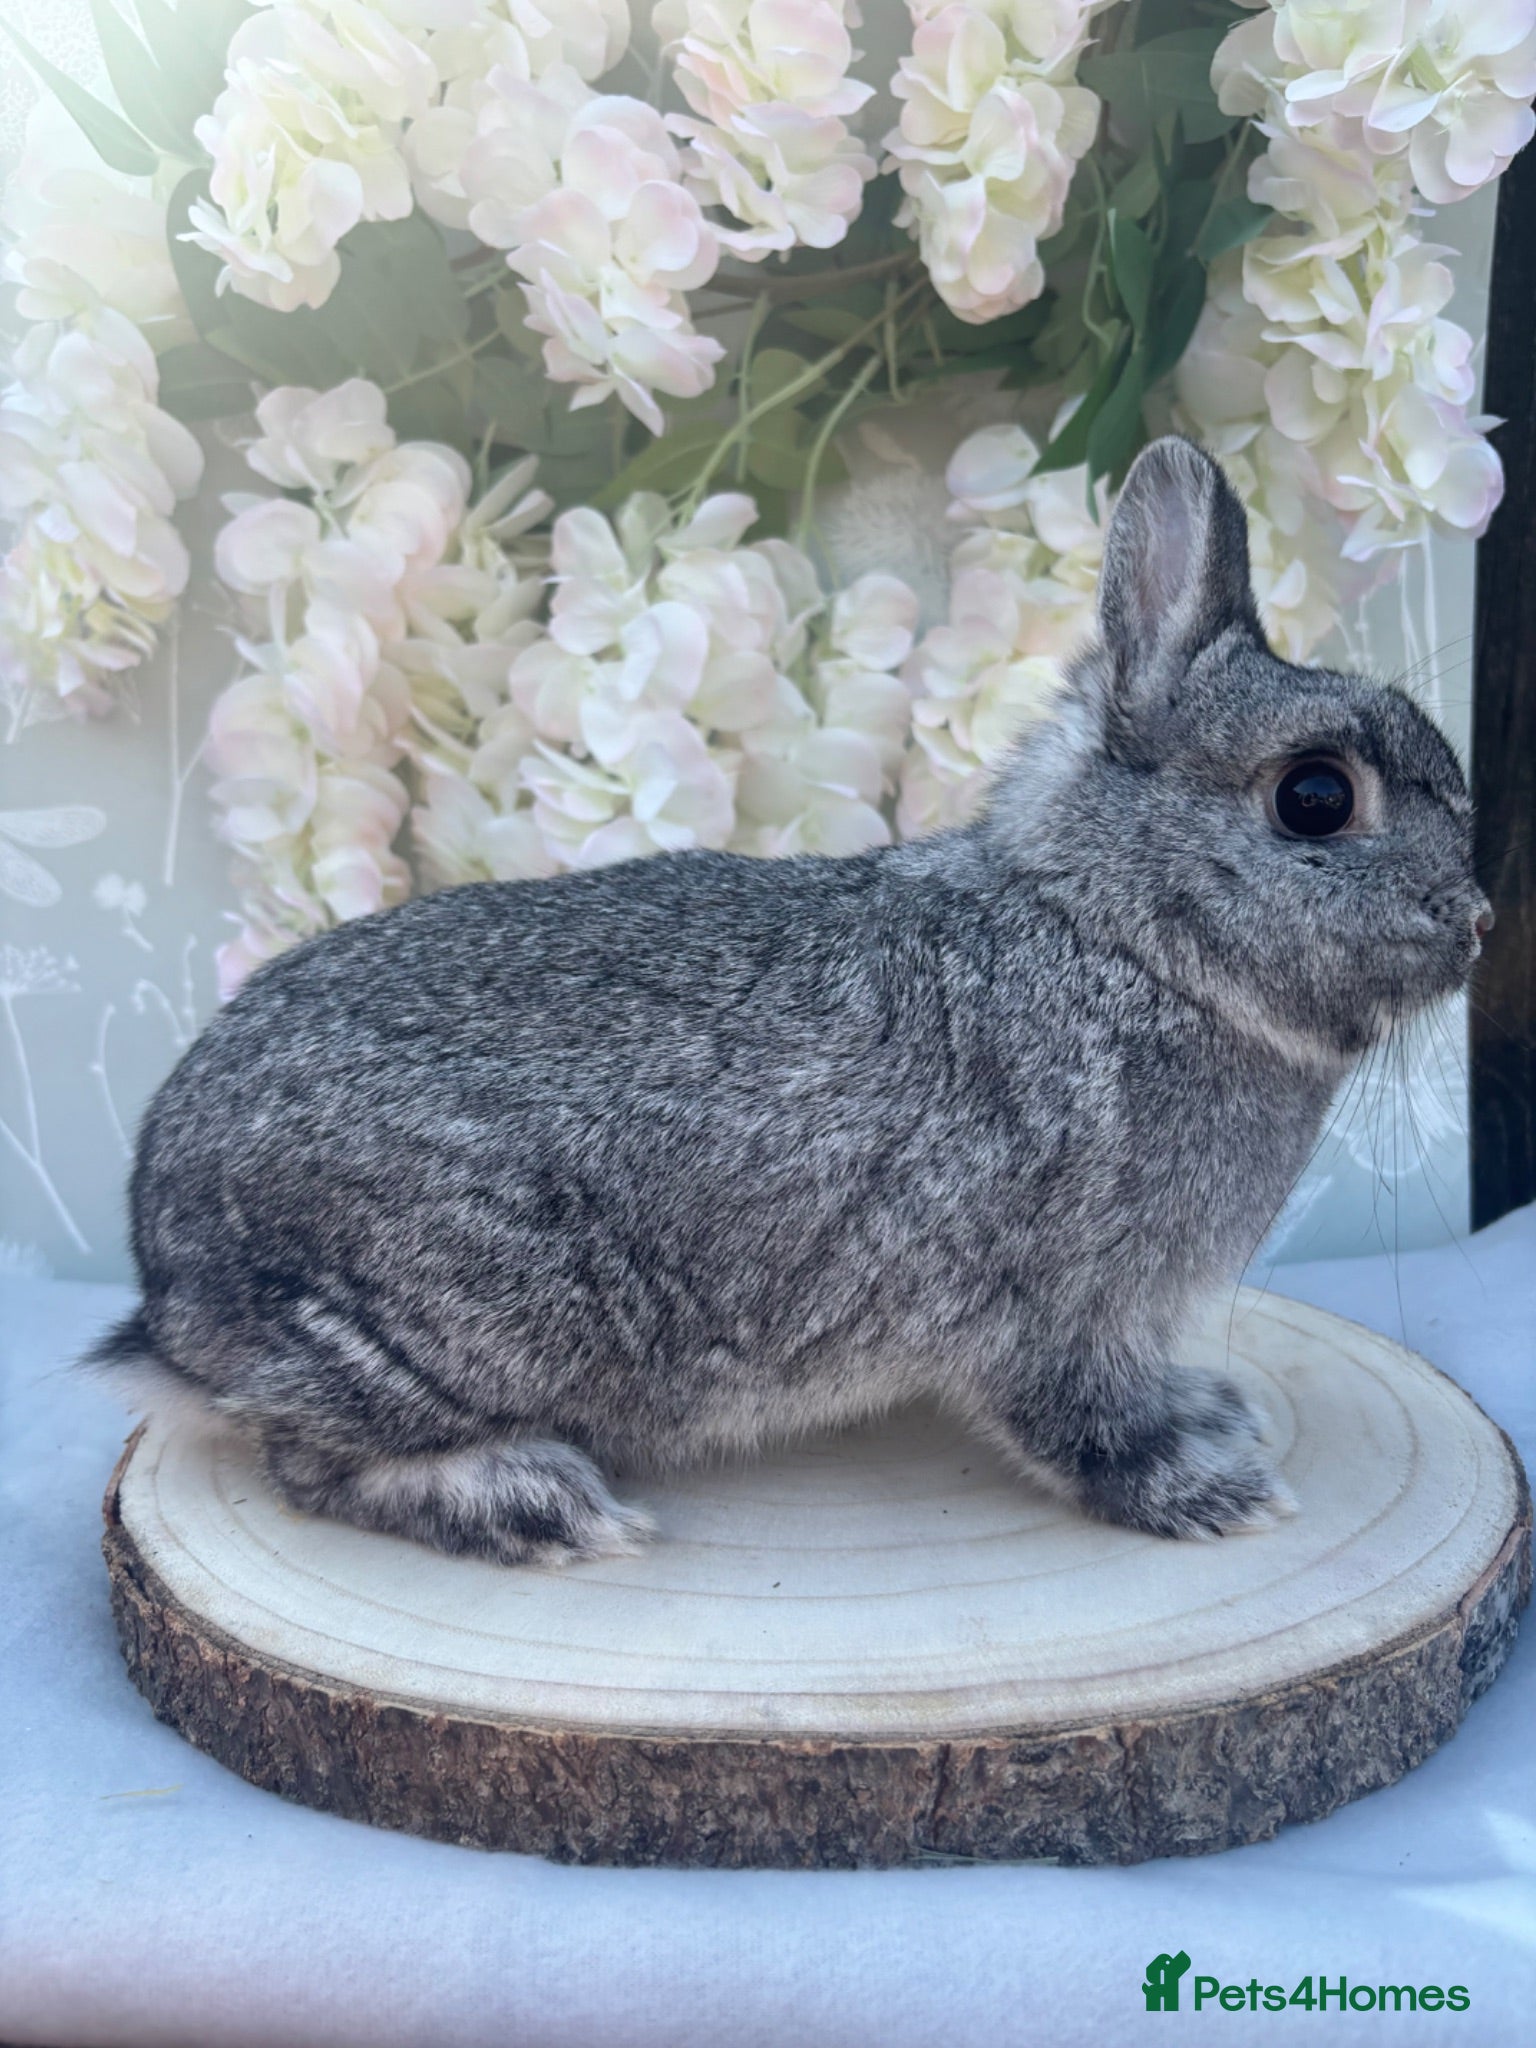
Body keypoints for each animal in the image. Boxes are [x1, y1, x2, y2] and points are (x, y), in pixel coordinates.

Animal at [87, 437, 1491, 1566]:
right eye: (1316, 797)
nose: (1478, 922)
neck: (1124, 939)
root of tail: (170, 1293)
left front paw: (1213, 1415)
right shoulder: (1053, 1298)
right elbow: (1076, 1416)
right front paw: (1207, 1488)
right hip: (470, 1323)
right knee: (314, 1459)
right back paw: (533, 1503)